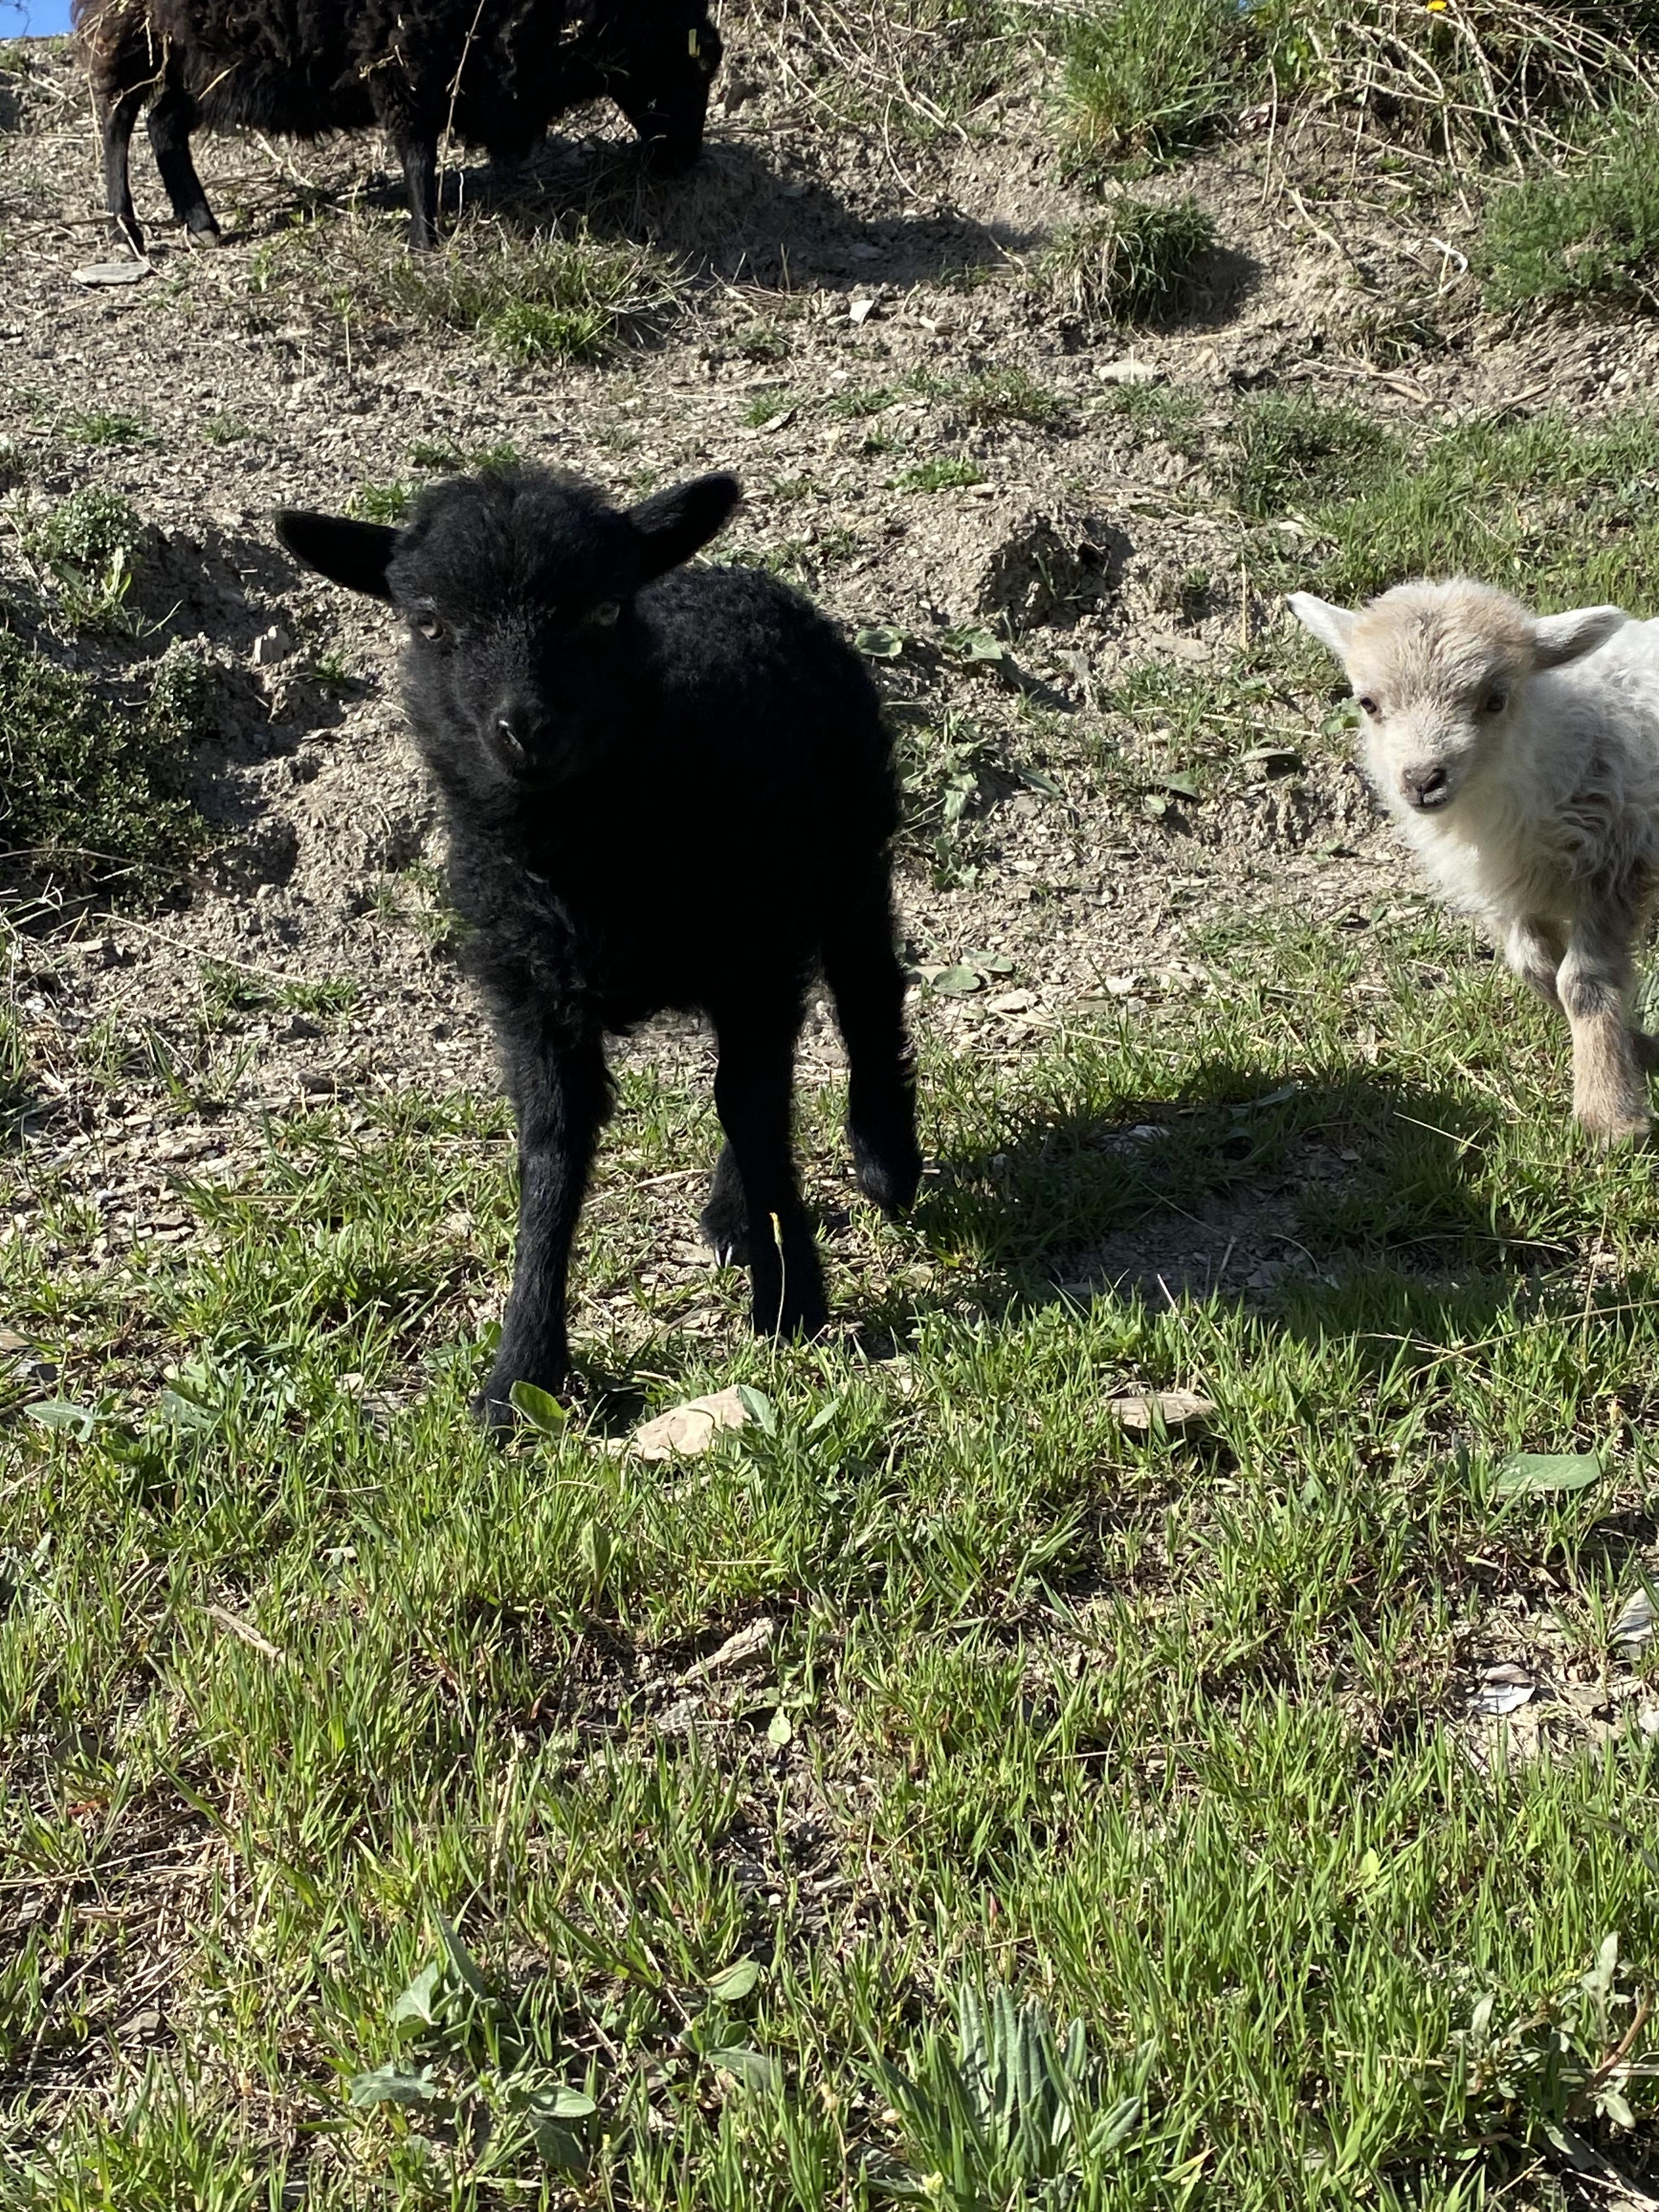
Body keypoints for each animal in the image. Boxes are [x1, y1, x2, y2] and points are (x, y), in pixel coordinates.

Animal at [73, 0, 721, 252]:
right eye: (693, 70)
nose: (685, 164)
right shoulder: (403, 59)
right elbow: (417, 154)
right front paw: (425, 239)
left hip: (210, 62)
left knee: (164, 124)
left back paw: (202, 223)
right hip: (133, 29)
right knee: (117, 118)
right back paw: (126, 226)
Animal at [273, 469, 924, 1433]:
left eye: (606, 611)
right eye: (429, 623)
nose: (524, 728)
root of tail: (729, 573)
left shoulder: (750, 956)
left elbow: (754, 1112)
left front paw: (792, 1303)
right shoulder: (530, 992)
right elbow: (554, 1149)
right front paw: (520, 1376)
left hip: (850, 843)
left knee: (866, 986)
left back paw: (884, 1158)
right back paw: (736, 1216)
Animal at [1291, 579, 1659, 1150]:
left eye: (1495, 699)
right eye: (1368, 702)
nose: (1422, 780)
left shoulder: (1617, 860)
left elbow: (1583, 984)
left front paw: (1610, 1116)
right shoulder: (1505, 887)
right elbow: (1534, 969)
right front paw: (1641, 1049)